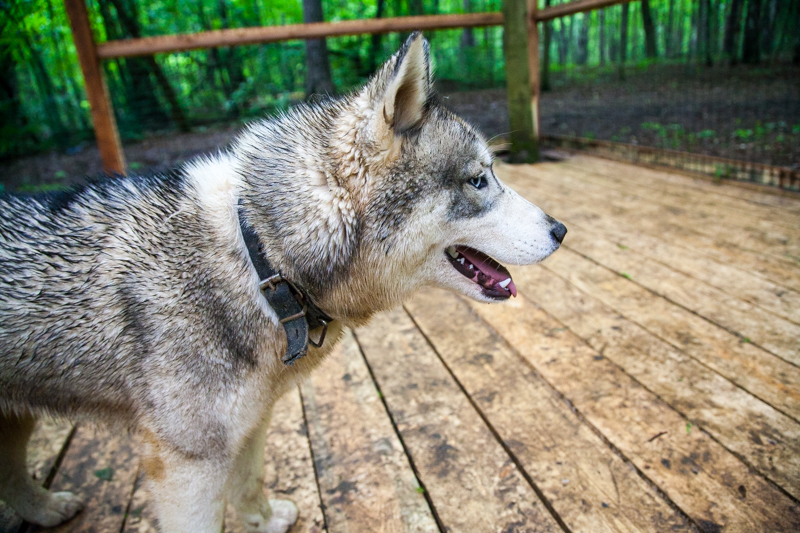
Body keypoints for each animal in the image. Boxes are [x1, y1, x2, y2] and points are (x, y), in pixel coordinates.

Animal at [0, 34, 564, 532]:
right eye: (478, 181)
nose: (561, 231)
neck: (260, 259)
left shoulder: (249, 424)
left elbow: (249, 484)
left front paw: (264, 522)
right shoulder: (187, 464)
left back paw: (45, 510)